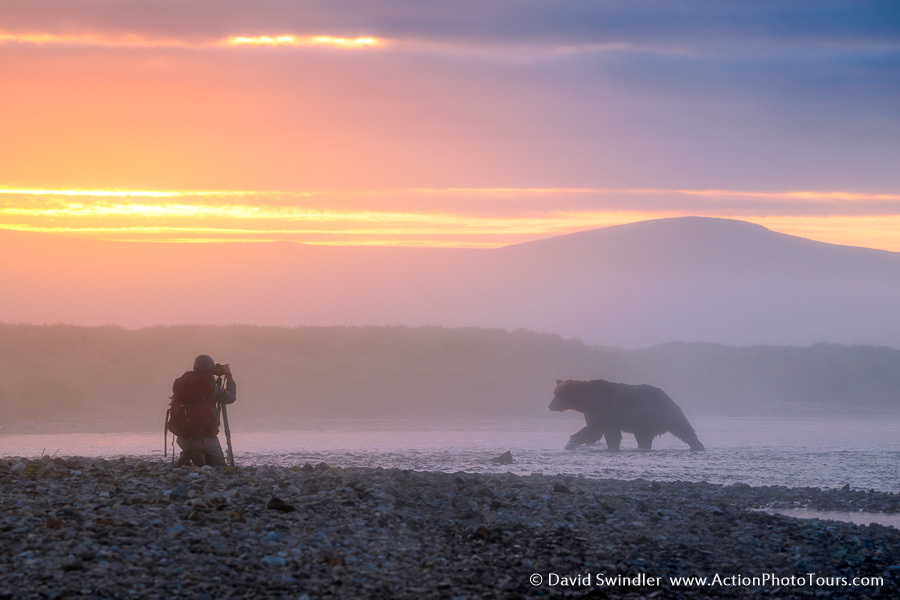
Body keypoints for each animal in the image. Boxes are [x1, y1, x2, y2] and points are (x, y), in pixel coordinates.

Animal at [549, 378, 705, 451]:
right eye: (555, 393)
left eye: (559, 394)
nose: (550, 405)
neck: (589, 400)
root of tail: (667, 395)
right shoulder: (593, 413)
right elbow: (592, 431)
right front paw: (571, 442)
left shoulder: (606, 408)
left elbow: (611, 433)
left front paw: (612, 447)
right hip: (644, 424)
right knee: (643, 438)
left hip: (664, 412)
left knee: (684, 429)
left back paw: (698, 445)